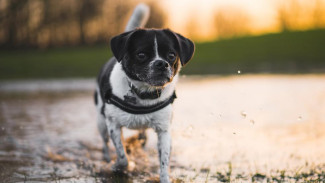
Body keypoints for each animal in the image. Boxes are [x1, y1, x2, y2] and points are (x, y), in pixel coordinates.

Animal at [94, 3, 195, 182]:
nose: (161, 63)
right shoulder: (113, 124)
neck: (143, 93)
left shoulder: (164, 130)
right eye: (141, 55)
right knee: (105, 144)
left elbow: (164, 162)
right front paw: (117, 166)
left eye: (171, 55)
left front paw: (164, 177)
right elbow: (122, 156)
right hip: (101, 122)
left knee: (142, 137)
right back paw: (107, 159)